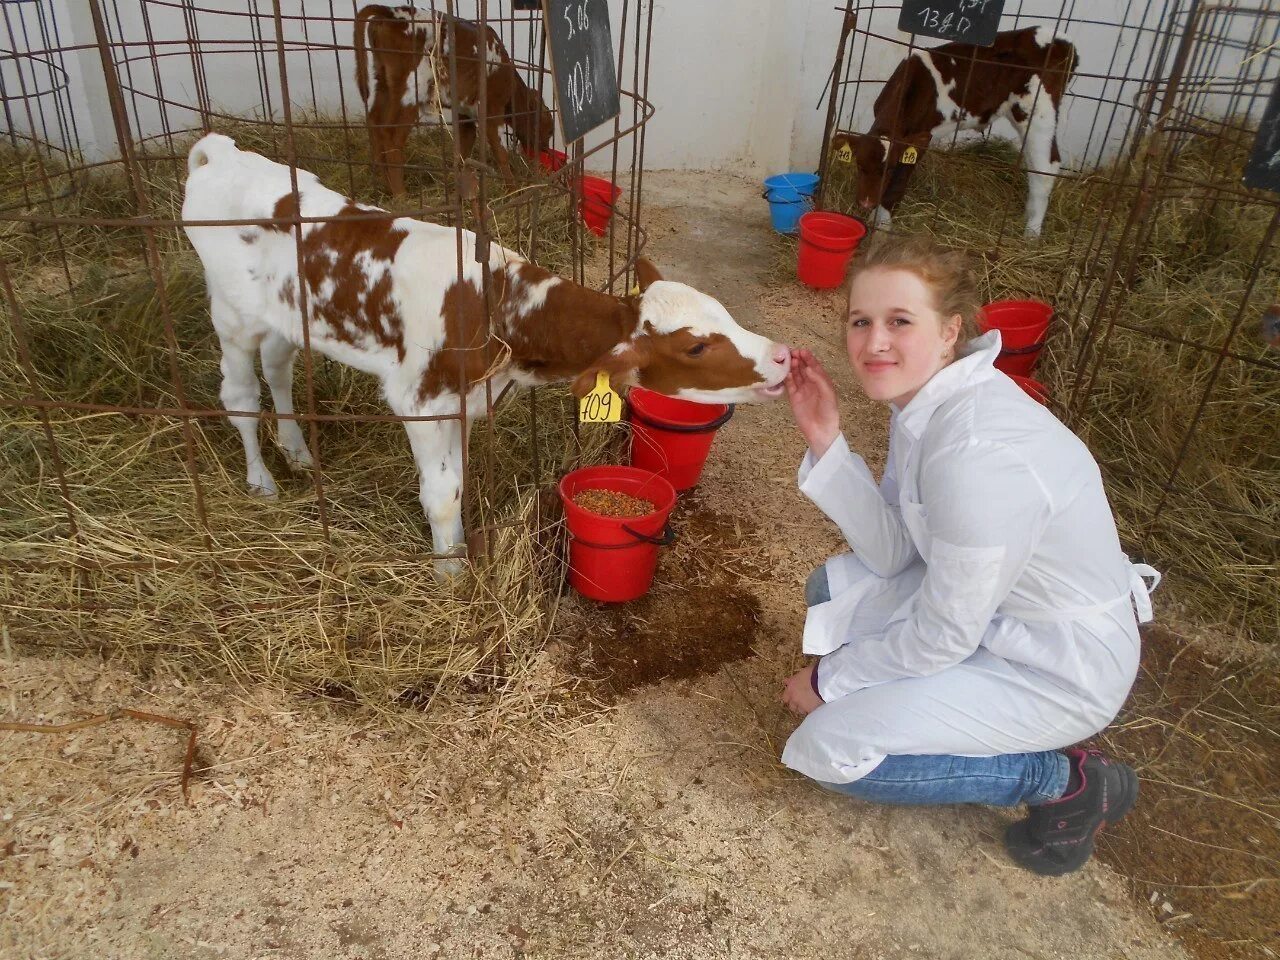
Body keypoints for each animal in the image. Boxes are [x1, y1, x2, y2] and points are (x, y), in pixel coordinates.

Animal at [181, 135, 788, 570]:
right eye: (695, 345)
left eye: (724, 313)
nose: (784, 357)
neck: (497, 303)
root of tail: (220, 154)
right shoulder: (419, 400)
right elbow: (441, 494)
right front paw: (449, 578)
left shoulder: (465, 401)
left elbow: (456, 482)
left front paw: (455, 559)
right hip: (230, 316)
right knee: (240, 395)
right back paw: (261, 481)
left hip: (287, 317)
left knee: (279, 370)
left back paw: (298, 451)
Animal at [829, 26, 1080, 239]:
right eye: (859, 165)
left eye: (889, 168)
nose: (866, 203)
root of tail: (1062, 39)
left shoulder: (921, 139)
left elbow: (898, 183)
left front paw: (882, 224)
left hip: (1038, 111)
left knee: (1047, 166)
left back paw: (1032, 234)